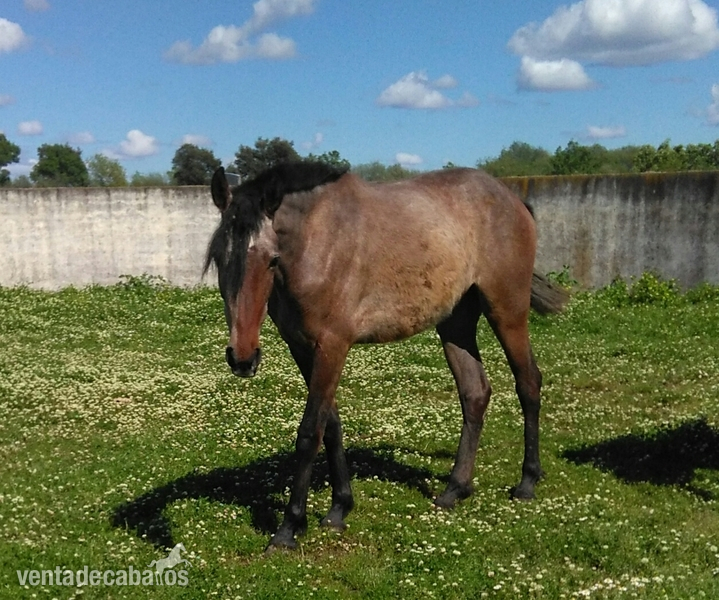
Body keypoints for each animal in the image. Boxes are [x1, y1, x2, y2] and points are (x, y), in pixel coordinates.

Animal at [204, 162, 568, 552]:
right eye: (217, 257)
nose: (242, 358)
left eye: (272, 259)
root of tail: (514, 201)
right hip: (455, 322)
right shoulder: (301, 347)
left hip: (507, 311)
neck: (316, 241)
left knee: (528, 382)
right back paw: (454, 489)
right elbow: (331, 427)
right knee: (475, 393)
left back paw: (527, 482)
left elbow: (310, 432)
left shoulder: (332, 345)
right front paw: (339, 508)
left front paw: (289, 528)